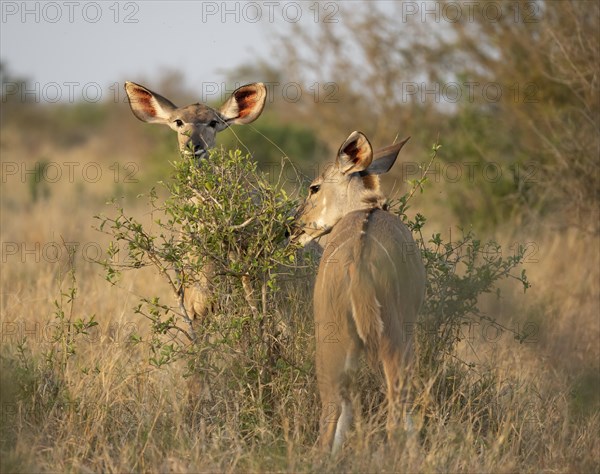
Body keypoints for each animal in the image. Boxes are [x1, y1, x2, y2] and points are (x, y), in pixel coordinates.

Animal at [292, 131, 424, 454]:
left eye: (314, 187)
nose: (293, 227)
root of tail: (358, 267)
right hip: (395, 341)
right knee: (393, 414)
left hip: (334, 346)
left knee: (333, 412)